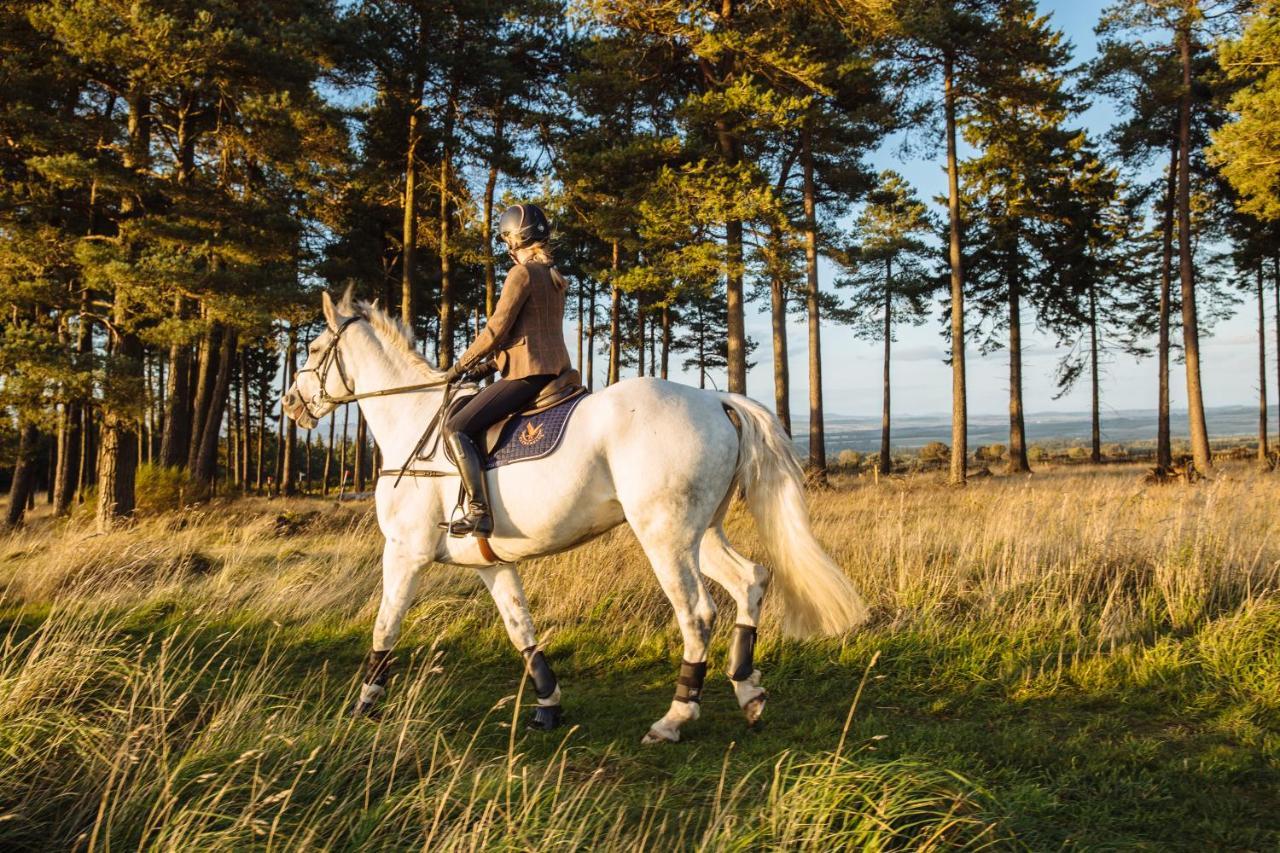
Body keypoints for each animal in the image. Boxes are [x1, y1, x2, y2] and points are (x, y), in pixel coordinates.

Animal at [285, 289, 870, 742]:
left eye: (313, 347)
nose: (289, 404)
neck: (412, 419)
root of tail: (715, 401)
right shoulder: (492, 563)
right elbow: (520, 628)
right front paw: (548, 705)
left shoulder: (405, 553)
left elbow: (386, 624)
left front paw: (365, 702)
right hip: (699, 534)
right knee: (751, 579)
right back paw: (748, 691)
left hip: (663, 537)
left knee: (697, 613)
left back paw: (675, 718)